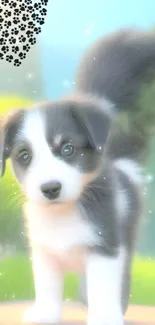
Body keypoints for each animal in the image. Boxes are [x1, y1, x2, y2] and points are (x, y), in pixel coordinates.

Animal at [0, 28, 155, 324]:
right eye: (24, 156)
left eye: (68, 149)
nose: (50, 188)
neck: (63, 216)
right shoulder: (44, 251)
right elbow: (47, 285)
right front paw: (44, 313)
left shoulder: (105, 246)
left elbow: (103, 285)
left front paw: (105, 316)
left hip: (126, 236)